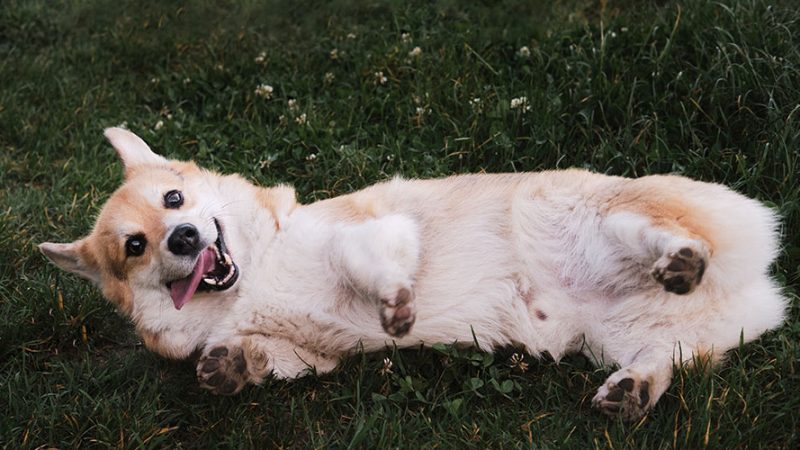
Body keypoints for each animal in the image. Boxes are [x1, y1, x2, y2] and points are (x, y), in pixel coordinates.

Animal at [40, 127, 784, 422]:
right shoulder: (312, 355)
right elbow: (261, 361)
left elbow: (370, 266)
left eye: (174, 200)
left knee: (657, 233)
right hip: (621, 338)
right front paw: (229, 368)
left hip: (591, 216)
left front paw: (397, 304)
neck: (253, 276)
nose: (185, 238)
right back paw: (633, 391)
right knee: (661, 359)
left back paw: (679, 257)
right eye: (136, 246)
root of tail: (762, 287)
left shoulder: (376, 231)